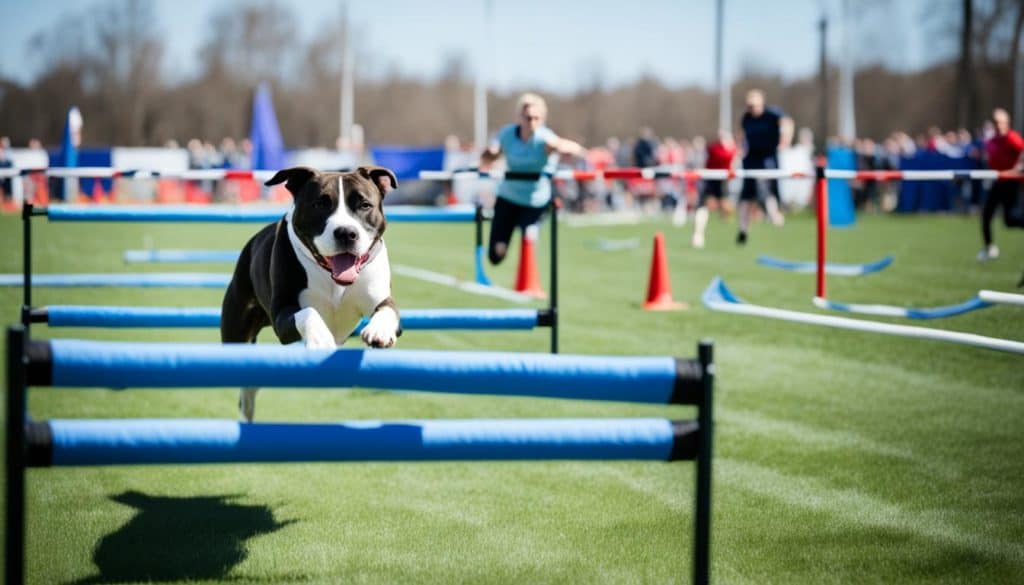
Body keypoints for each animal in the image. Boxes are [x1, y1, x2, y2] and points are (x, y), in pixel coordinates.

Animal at [222, 164, 401, 422]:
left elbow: (388, 310)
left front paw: (380, 331)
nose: (346, 233)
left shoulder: (381, 298)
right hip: (235, 333)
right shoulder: (282, 314)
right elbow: (308, 312)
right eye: (320, 204)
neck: (333, 277)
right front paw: (321, 338)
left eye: (365, 205)